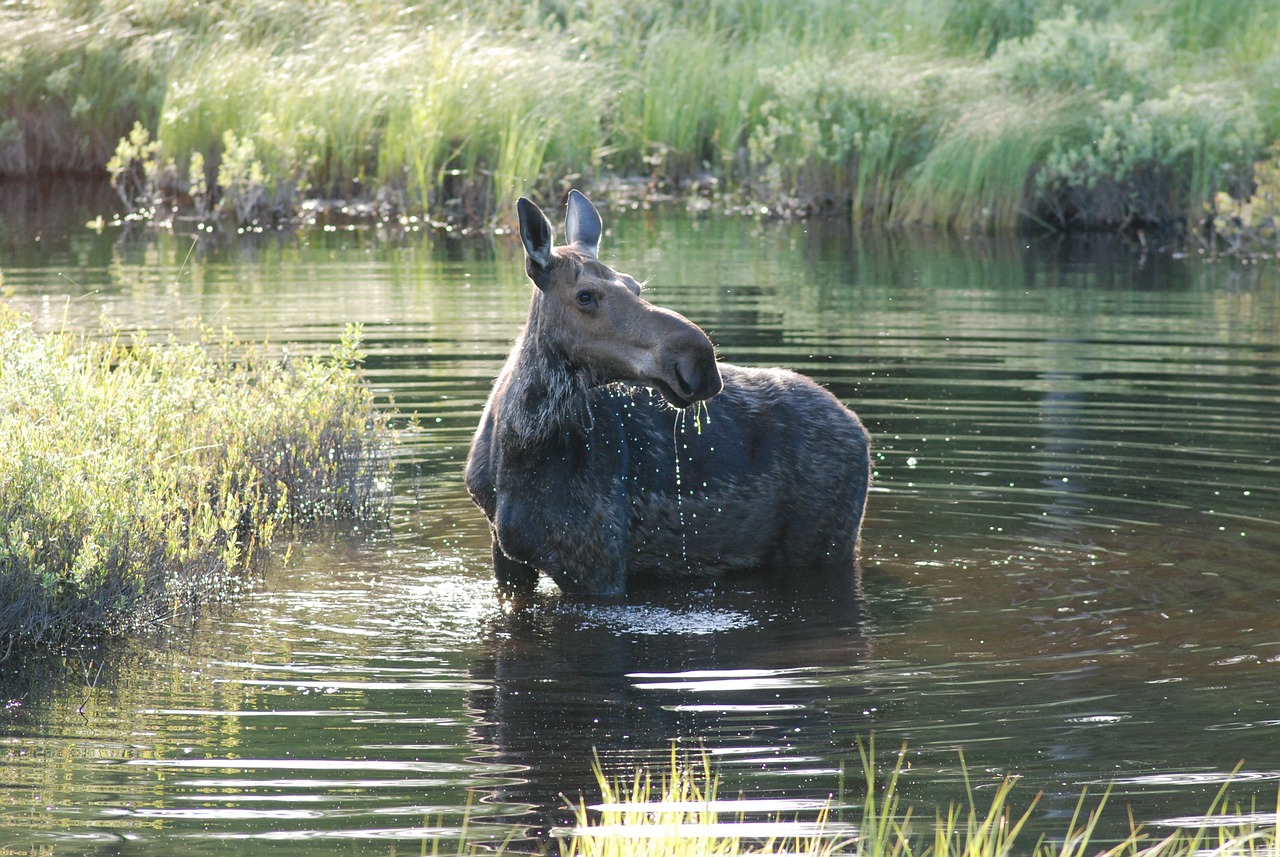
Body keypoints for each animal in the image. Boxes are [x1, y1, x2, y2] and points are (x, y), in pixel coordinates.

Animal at [463, 190, 870, 598]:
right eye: (585, 296)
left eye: (635, 286)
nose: (700, 360)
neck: (518, 450)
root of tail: (860, 429)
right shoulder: (509, 556)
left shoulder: (597, 562)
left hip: (824, 546)